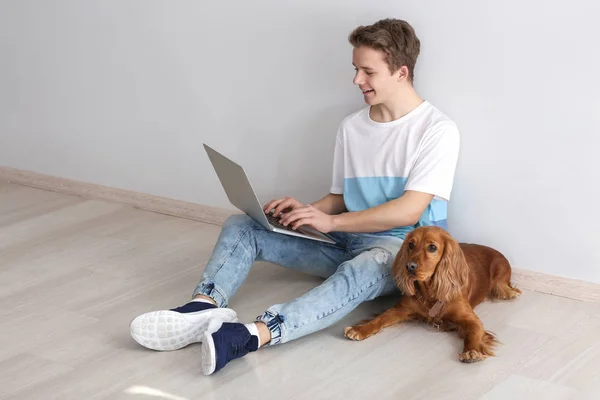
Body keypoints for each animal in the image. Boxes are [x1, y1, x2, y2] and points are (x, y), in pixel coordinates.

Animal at [344, 225, 524, 362]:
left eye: (432, 247)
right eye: (410, 245)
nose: (409, 266)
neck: (430, 292)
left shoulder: (470, 318)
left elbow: (474, 332)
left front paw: (471, 351)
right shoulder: (401, 309)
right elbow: (380, 319)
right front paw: (360, 329)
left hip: (500, 276)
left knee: (505, 288)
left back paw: (511, 292)